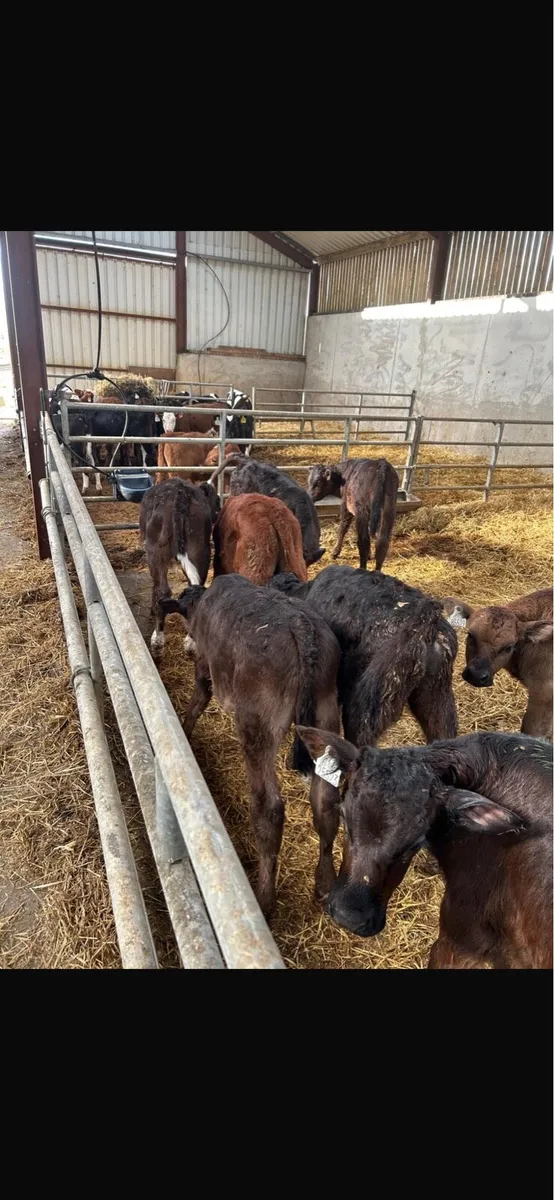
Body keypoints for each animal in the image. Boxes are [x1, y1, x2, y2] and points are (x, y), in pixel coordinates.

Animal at [139, 478, 220, 653]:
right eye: (216, 500)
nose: (219, 511)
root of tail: (180, 492)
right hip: (200, 548)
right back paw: (191, 643)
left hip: (155, 551)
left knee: (162, 590)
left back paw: (157, 640)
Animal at [158, 575, 342, 917]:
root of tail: (300, 626)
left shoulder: (205, 666)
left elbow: (197, 701)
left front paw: (185, 731)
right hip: (326, 716)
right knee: (325, 802)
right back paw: (325, 883)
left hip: (258, 729)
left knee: (269, 808)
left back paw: (265, 897)